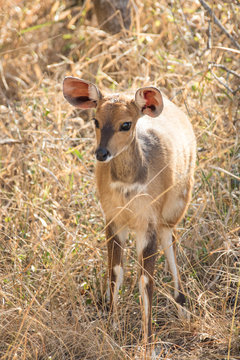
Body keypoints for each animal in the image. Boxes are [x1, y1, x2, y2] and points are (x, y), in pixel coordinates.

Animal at [62, 76, 196, 346]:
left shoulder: (148, 224)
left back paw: (183, 307)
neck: (128, 186)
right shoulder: (113, 221)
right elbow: (116, 273)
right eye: (96, 120)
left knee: (171, 240)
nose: (101, 153)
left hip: (173, 210)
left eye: (126, 124)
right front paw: (112, 328)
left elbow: (146, 282)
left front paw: (148, 344)